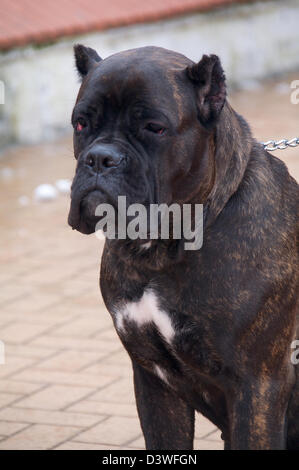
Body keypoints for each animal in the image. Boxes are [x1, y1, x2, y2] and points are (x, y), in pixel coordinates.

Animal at [68, 45, 299, 452]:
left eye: (154, 128)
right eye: (81, 124)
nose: (100, 158)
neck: (162, 249)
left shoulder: (258, 386)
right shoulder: (153, 380)